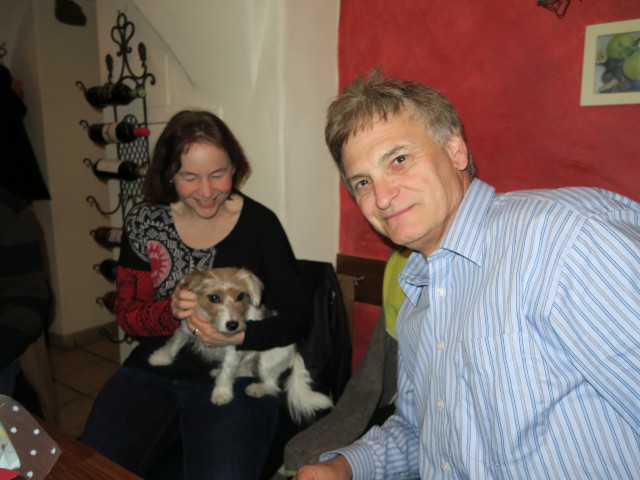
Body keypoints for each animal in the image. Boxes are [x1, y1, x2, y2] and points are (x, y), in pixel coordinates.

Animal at [148, 267, 333, 423]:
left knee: (272, 386)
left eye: (240, 297)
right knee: (246, 372)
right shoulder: (186, 329)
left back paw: (256, 388)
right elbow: (174, 344)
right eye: (213, 298)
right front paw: (160, 357)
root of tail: (295, 351)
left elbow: (227, 373)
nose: (233, 325)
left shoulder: (232, 352)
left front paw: (221, 393)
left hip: (267, 360)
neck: (214, 325)